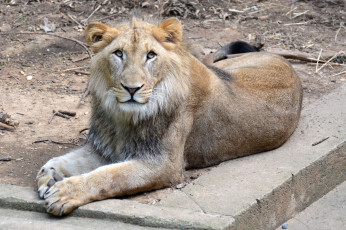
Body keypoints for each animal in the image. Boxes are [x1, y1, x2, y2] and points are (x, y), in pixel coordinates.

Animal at [36, 16, 302, 216]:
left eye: (151, 55)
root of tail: (282, 59)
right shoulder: (104, 148)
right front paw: (48, 176)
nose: (132, 89)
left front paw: (64, 192)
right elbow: (64, 161)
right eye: (118, 54)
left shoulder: (164, 164)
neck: (122, 117)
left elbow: (110, 176)